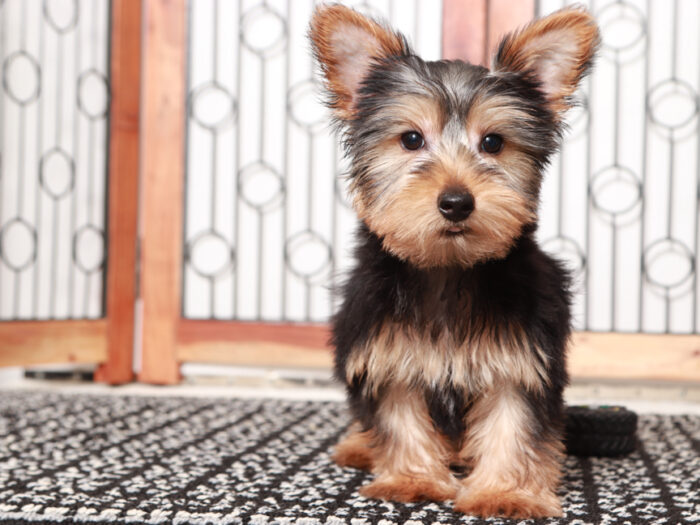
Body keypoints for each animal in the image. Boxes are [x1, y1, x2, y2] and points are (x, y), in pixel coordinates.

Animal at [308, 5, 600, 520]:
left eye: (493, 143)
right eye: (410, 139)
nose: (457, 202)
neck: (447, 268)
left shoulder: (520, 358)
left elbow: (512, 422)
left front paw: (506, 491)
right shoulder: (385, 351)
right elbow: (399, 414)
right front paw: (413, 479)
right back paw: (359, 445)